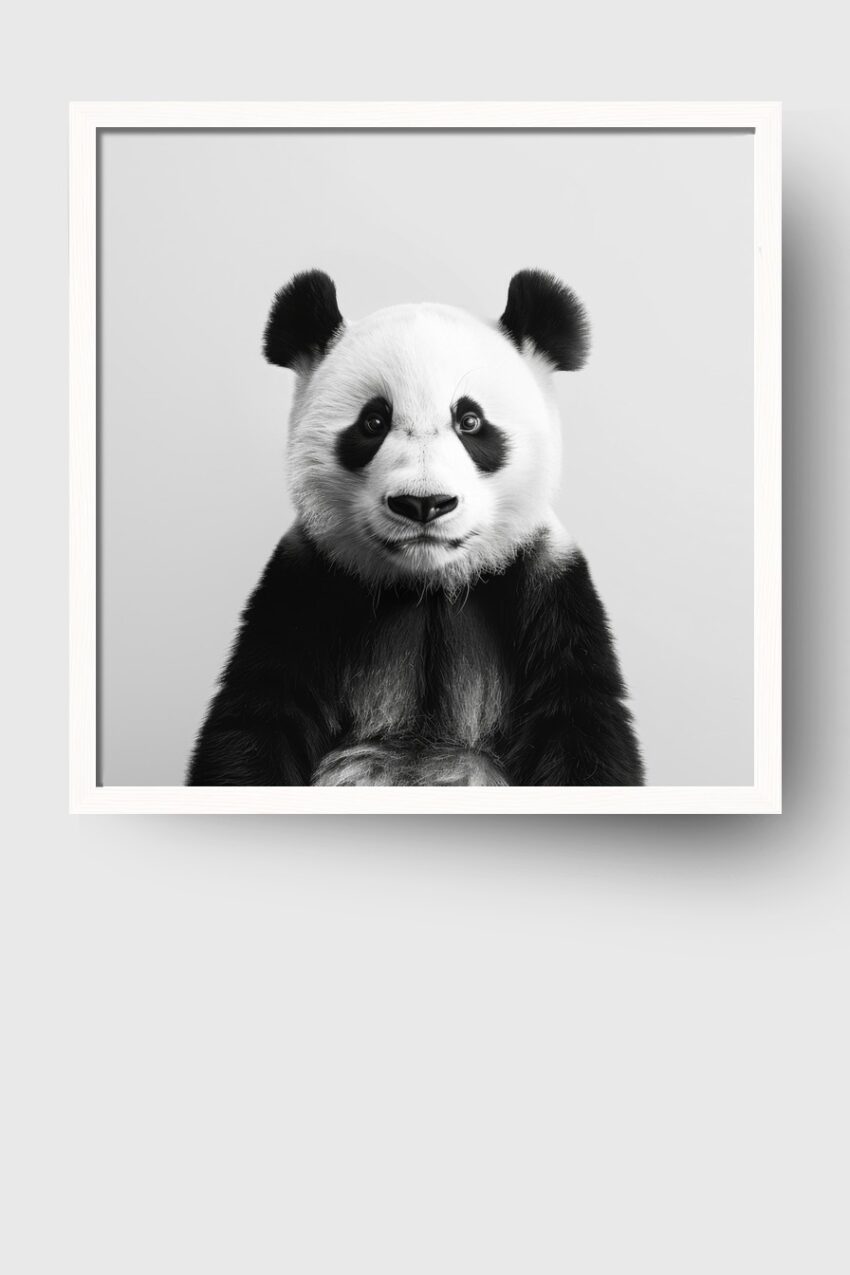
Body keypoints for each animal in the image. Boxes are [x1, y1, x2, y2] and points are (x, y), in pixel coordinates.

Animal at [187, 269, 644, 787]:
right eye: (372, 422)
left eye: (470, 421)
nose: (424, 503)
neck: (429, 585)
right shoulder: (305, 584)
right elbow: (257, 717)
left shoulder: (548, 587)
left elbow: (579, 723)